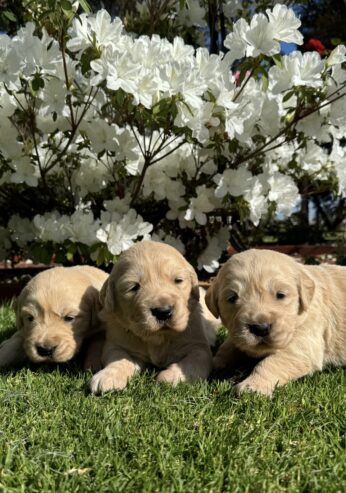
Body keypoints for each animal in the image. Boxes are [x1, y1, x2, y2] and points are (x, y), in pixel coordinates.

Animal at [90, 238, 219, 392]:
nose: (163, 312)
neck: (157, 337)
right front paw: (108, 376)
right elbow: (119, 358)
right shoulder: (117, 343)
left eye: (178, 280)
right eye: (133, 287)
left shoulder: (197, 346)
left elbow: (194, 362)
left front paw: (171, 377)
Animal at [205, 250, 346, 396]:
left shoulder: (304, 343)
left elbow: (271, 363)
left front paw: (252, 386)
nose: (260, 328)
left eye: (281, 295)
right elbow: (228, 347)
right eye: (232, 298)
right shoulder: (237, 334)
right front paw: (215, 363)